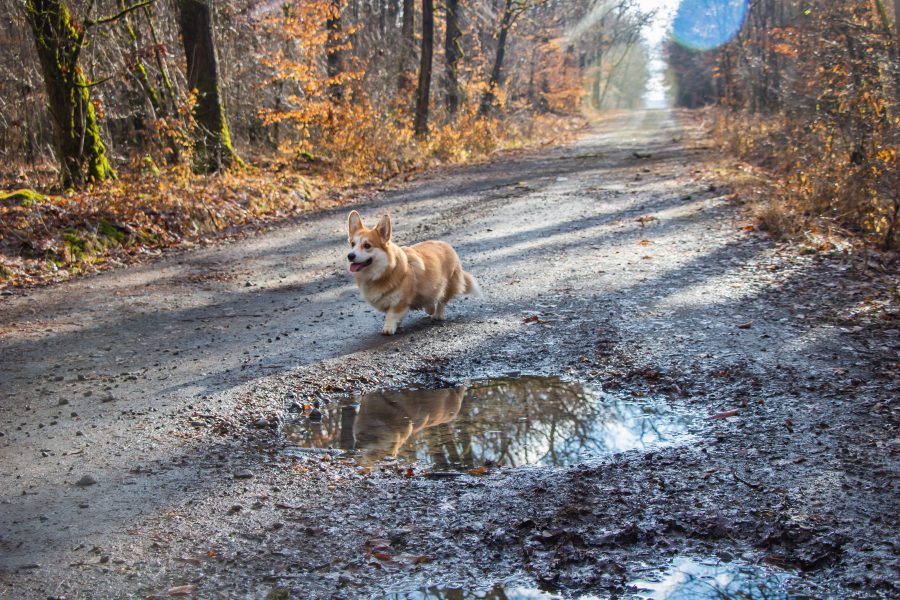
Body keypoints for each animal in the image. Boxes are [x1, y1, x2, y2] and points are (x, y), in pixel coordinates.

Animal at [348, 210, 482, 332]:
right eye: (352, 244)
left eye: (367, 246)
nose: (350, 256)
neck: (385, 271)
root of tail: (446, 245)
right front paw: (397, 324)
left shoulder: (400, 301)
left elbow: (391, 315)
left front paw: (388, 328)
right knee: (430, 299)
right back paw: (429, 308)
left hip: (448, 284)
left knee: (442, 300)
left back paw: (437, 314)